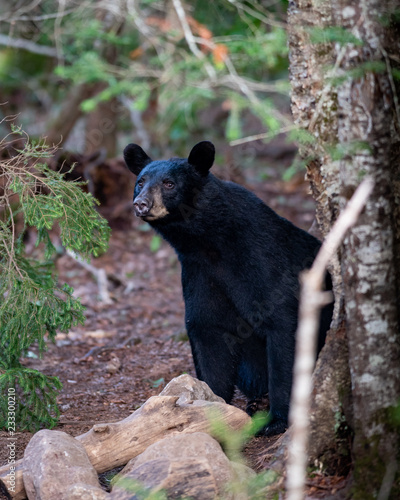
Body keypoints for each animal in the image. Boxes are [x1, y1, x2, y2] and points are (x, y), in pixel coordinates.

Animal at [123, 140, 332, 434]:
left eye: (169, 183)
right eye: (140, 182)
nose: (141, 203)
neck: (211, 243)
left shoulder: (264, 263)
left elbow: (284, 329)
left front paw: (278, 419)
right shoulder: (200, 274)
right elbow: (207, 332)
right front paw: (211, 407)